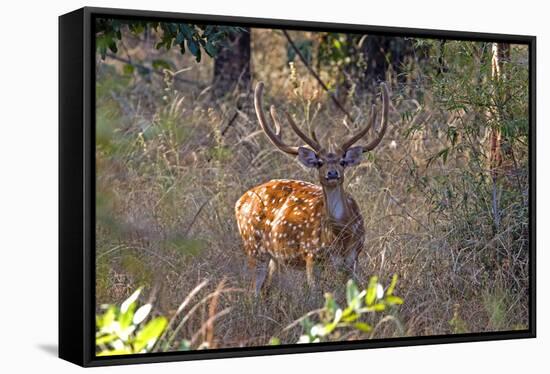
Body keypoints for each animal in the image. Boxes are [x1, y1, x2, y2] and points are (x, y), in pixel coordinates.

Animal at [237, 82, 392, 296]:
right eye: (319, 163)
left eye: (343, 162)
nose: (332, 173)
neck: (341, 237)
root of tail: (240, 201)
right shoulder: (311, 255)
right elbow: (315, 294)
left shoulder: (353, 257)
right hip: (253, 245)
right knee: (253, 290)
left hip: (274, 257)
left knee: (267, 287)